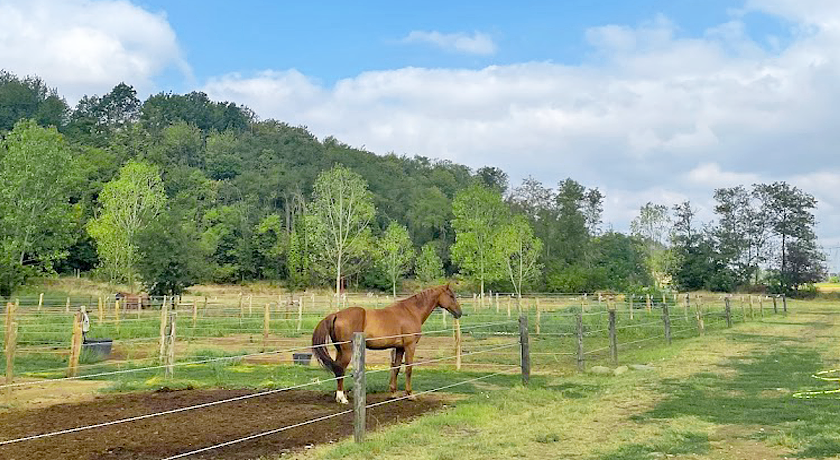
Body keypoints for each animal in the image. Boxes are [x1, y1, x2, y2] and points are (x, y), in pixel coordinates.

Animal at [312, 284, 462, 402]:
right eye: (451, 296)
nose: (459, 313)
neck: (411, 312)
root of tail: (336, 314)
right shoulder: (410, 346)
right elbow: (408, 369)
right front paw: (410, 394)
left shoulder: (399, 348)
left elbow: (396, 368)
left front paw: (393, 394)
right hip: (347, 351)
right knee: (340, 370)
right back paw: (342, 398)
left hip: (340, 350)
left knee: (337, 369)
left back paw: (339, 397)